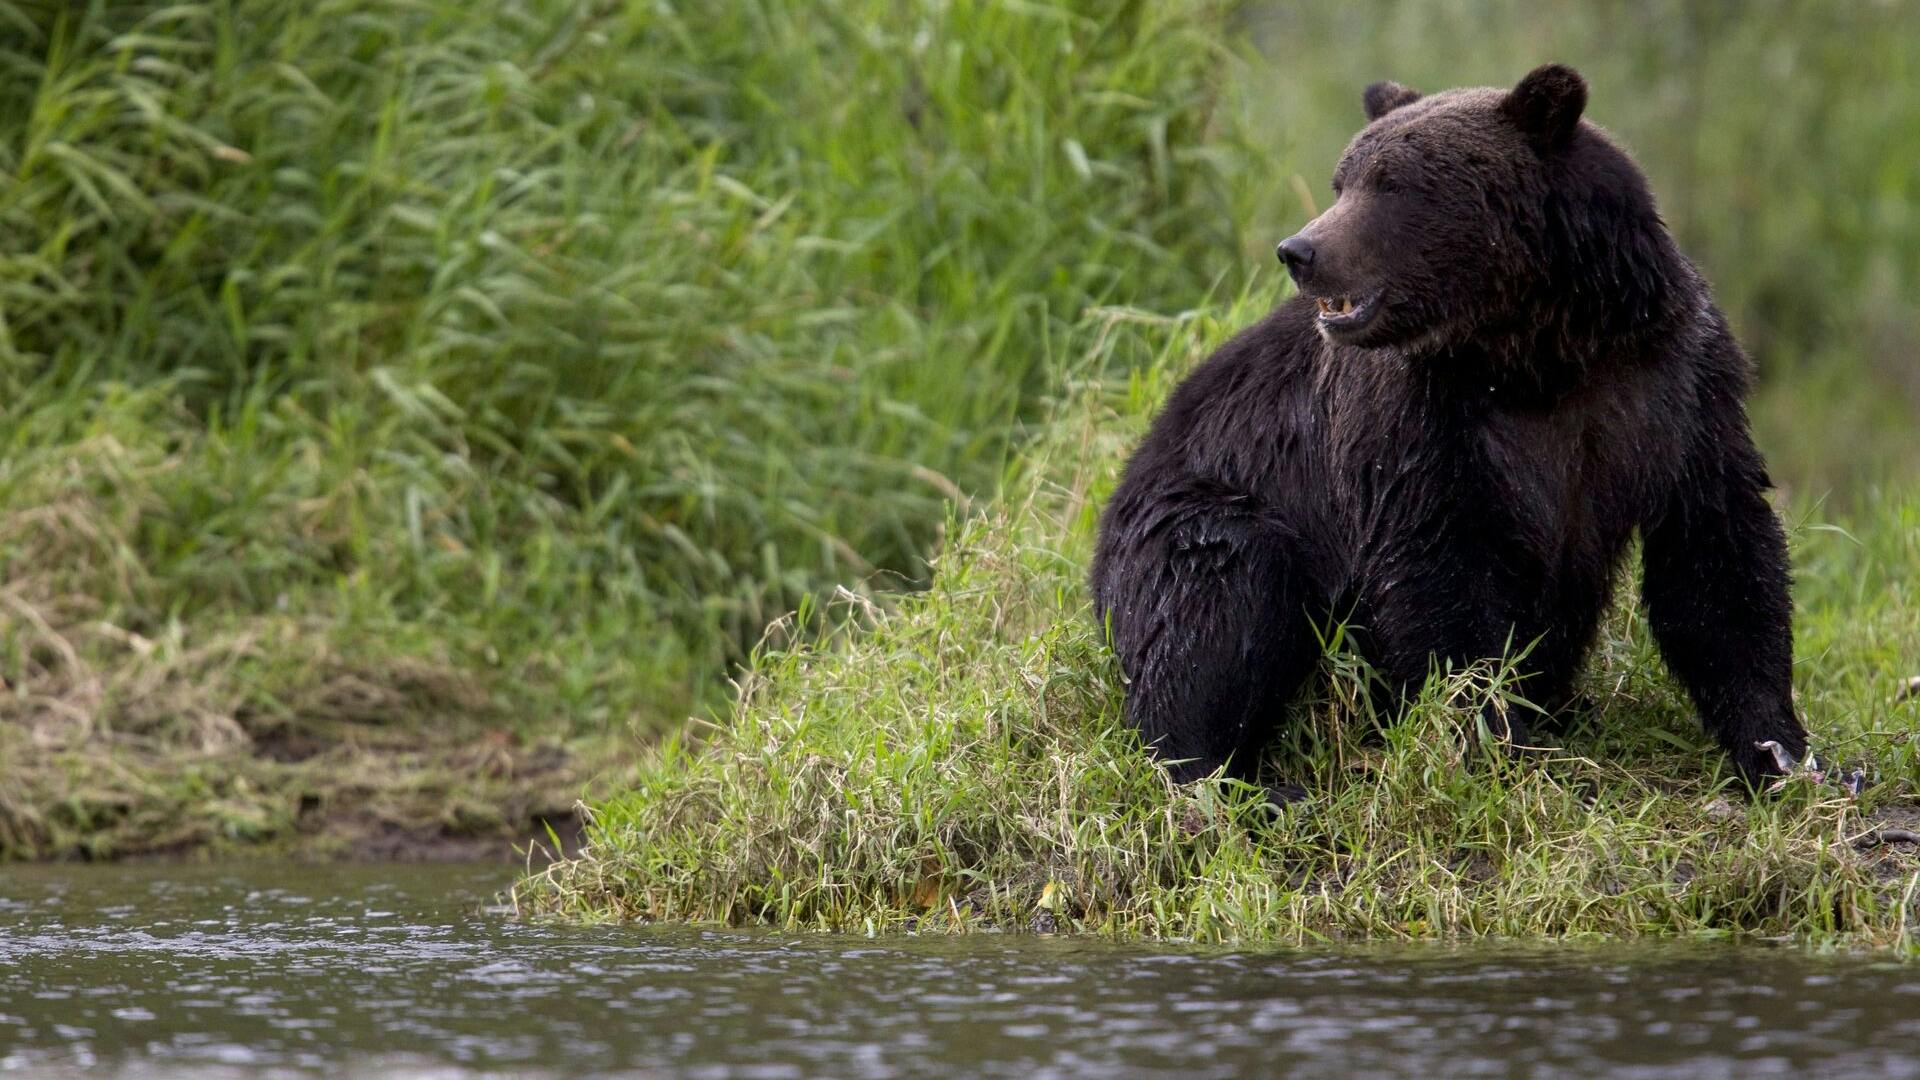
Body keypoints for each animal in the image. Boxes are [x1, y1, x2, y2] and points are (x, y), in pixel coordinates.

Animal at [1091, 64, 1809, 803]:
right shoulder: (1417, 420)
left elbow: (1716, 552)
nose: (1300, 250)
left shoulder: (1671, 385)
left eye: (1391, 183)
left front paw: (1779, 749)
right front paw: (1492, 741)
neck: (1539, 352)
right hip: (1197, 509)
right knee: (1215, 597)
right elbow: (1436, 574)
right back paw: (1234, 778)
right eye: (1342, 180)